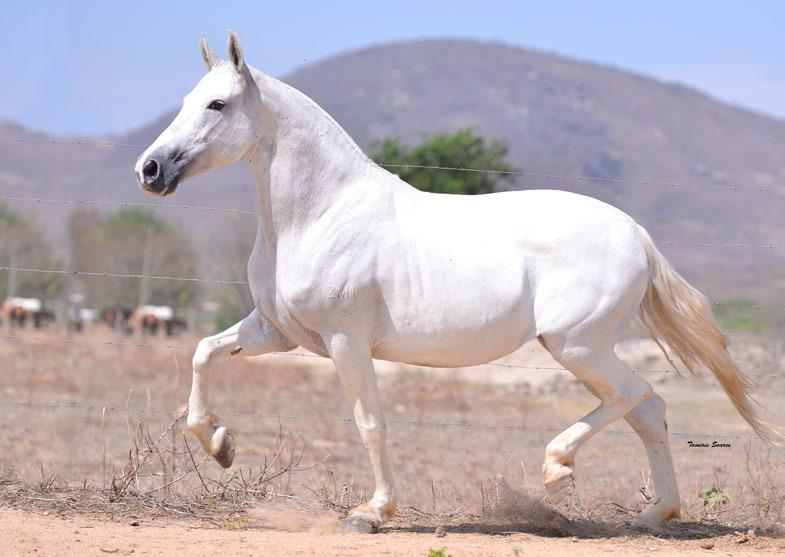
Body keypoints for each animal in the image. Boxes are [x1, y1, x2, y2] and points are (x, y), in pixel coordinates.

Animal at [133, 32, 776, 532]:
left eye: (217, 104)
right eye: (188, 100)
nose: (150, 170)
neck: (321, 212)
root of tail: (636, 233)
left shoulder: (345, 342)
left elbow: (370, 422)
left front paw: (371, 513)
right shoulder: (278, 331)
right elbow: (203, 351)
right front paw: (220, 445)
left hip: (577, 346)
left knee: (634, 395)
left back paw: (558, 471)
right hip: (587, 349)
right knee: (649, 408)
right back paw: (653, 516)